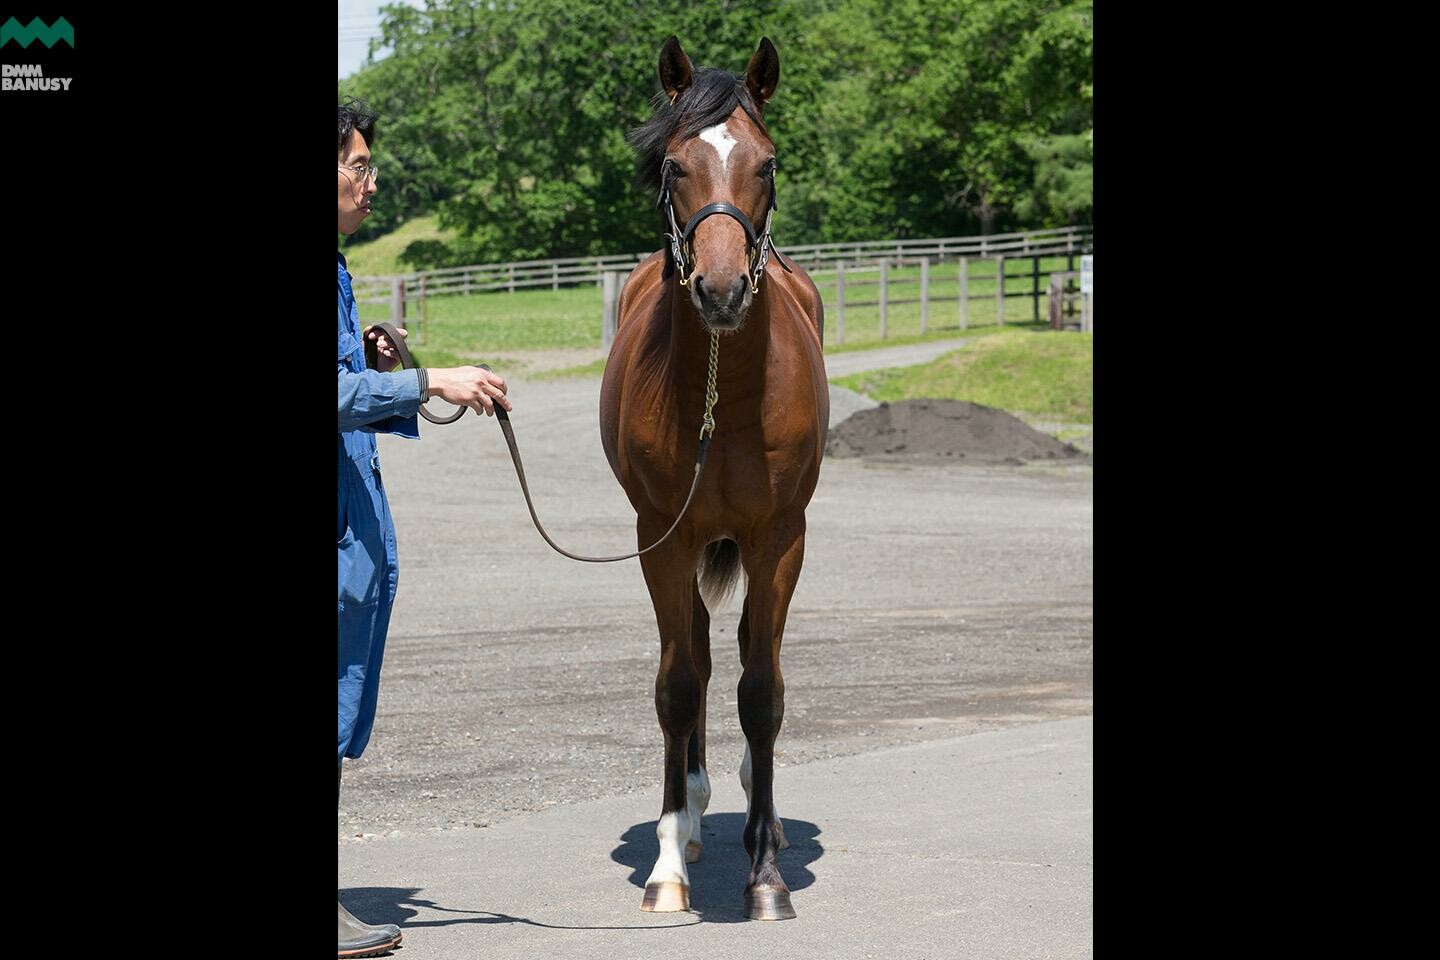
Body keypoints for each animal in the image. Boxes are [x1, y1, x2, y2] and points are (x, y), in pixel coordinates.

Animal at [593, 39, 823, 921]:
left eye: (768, 163)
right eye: (674, 164)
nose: (721, 292)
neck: (723, 394)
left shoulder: (779, 538)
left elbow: (762, 691)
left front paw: (765, 879)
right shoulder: (661, 537)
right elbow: (680, 684)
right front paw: (667, 867)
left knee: (759, 656)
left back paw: (764, 813)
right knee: (691, 651)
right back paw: (689, 816)